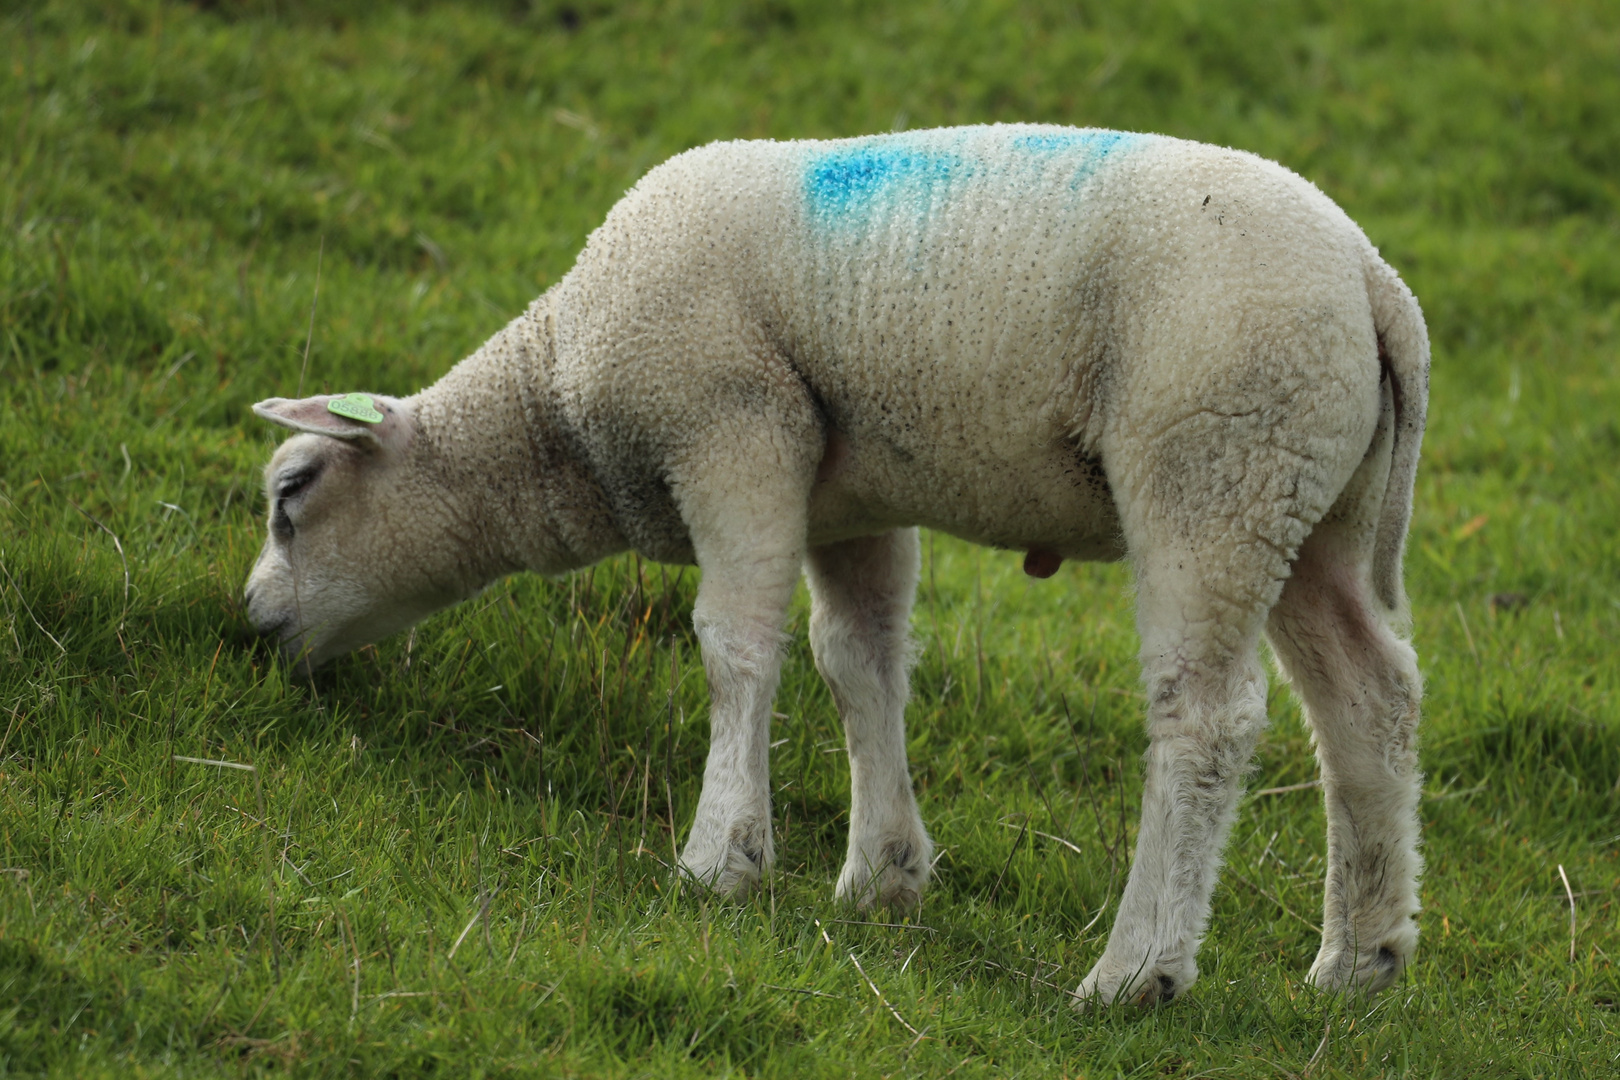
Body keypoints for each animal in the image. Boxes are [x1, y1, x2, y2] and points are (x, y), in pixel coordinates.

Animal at [243, 122, 1432, 1010]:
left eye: (292, 492)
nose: (252, 630)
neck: (559, 407)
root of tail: (1379, 287)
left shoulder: (733, 425)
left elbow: (735, 646)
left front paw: (721, 859)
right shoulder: (849, 495)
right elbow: (858, 659)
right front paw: (883, 877)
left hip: (1216, 464)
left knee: (1207, 718)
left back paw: (1137, 972)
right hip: (1312, 503)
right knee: (1367, 700)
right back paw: (1359, 958)